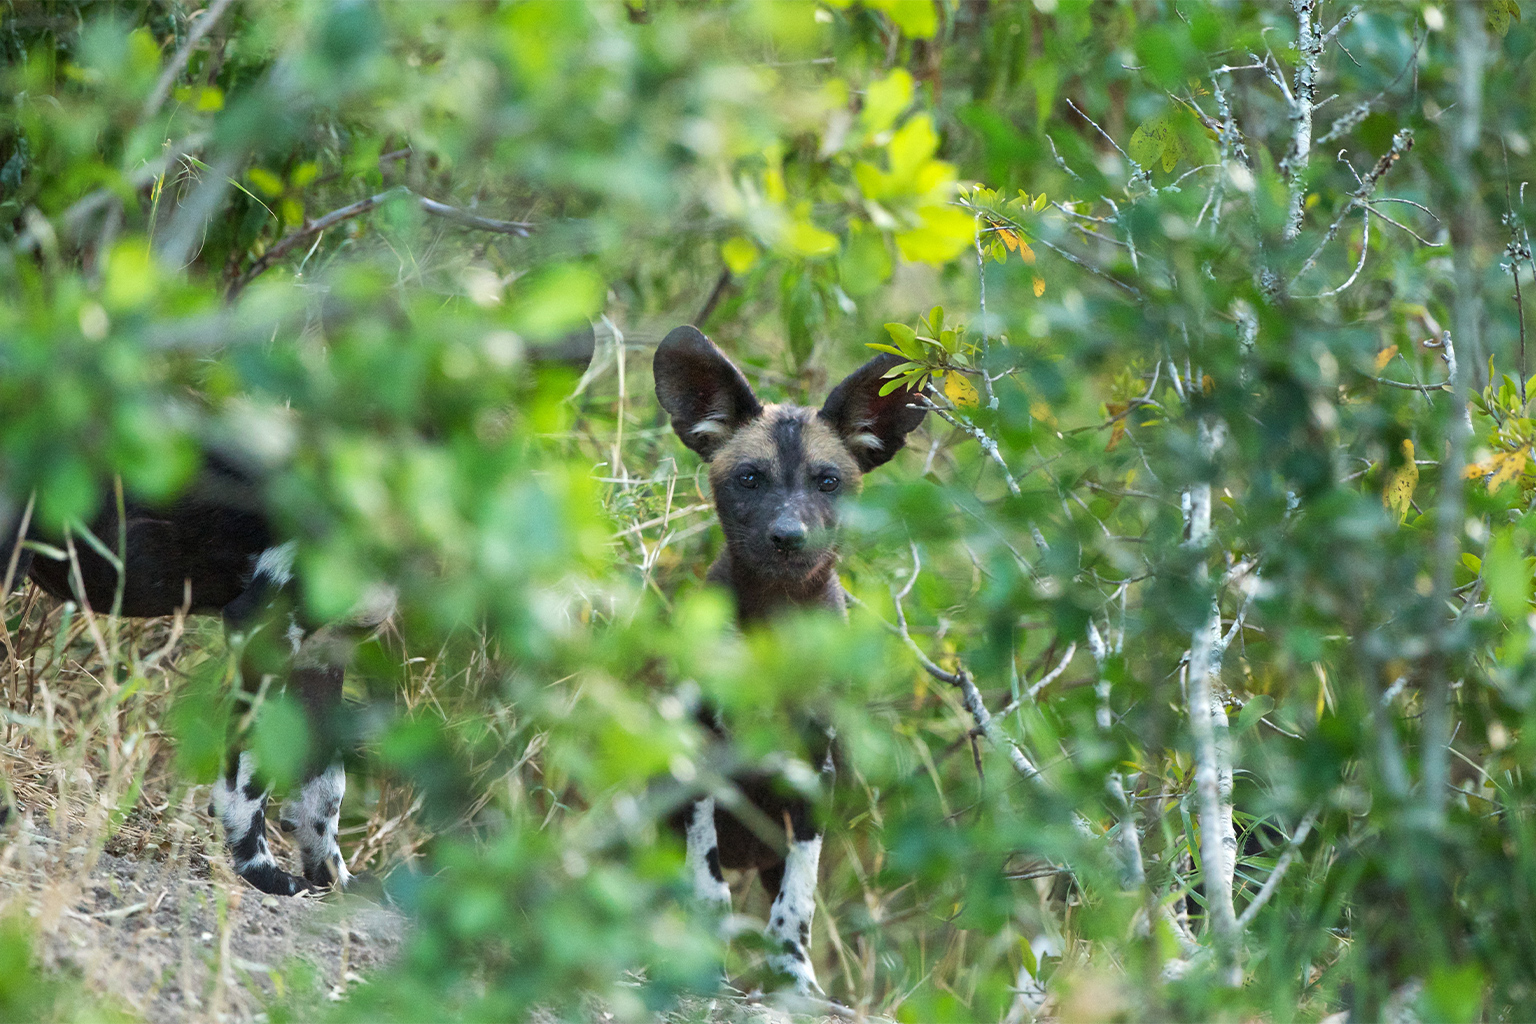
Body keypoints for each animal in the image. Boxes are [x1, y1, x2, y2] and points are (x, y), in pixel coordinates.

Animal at [651, 327, 921, 994]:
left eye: (827, 482)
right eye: (751, 478)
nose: (788, 536)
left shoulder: (812, 773)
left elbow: (796, 900)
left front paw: (794, 979)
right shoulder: (702, 762)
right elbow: (708, 888)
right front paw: (704, 968)